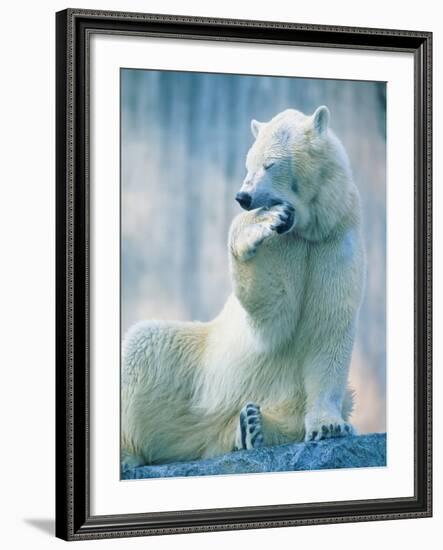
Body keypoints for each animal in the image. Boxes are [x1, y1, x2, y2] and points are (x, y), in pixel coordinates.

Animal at [120, 106, 364, 470]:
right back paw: (129, 452)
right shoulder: (286, 245)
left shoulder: (335, 241)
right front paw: (259, 224)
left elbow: (328, 328)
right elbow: (272, 310)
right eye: (248, 164)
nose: (243, 197)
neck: (309, 229)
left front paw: (330, 426)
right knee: (142, 344)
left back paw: (250, 427)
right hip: (195, 364)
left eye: (270, 164)